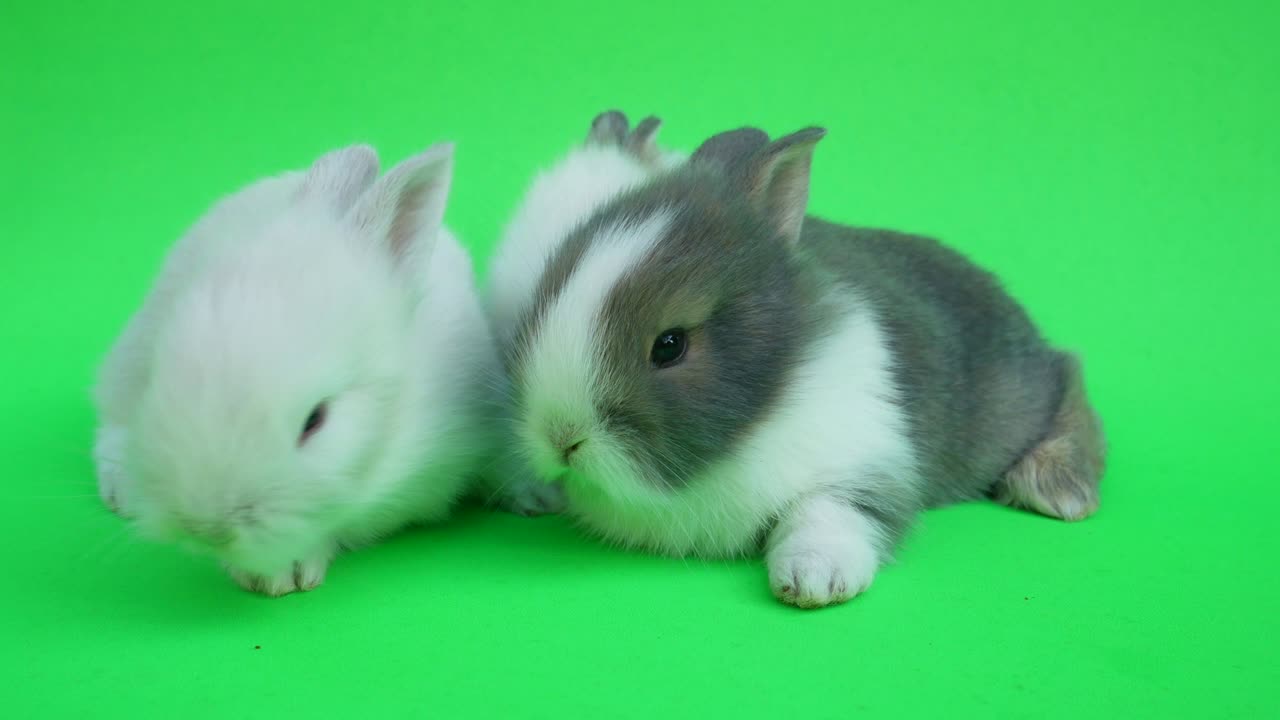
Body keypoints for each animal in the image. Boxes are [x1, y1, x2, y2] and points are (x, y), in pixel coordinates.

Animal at [501, 119, 1107, 608]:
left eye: (669, 345)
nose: (562, 439)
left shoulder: (863, 457)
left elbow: (829, 514)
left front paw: (815, 580)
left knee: (1070, 378)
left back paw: (1056, 486)